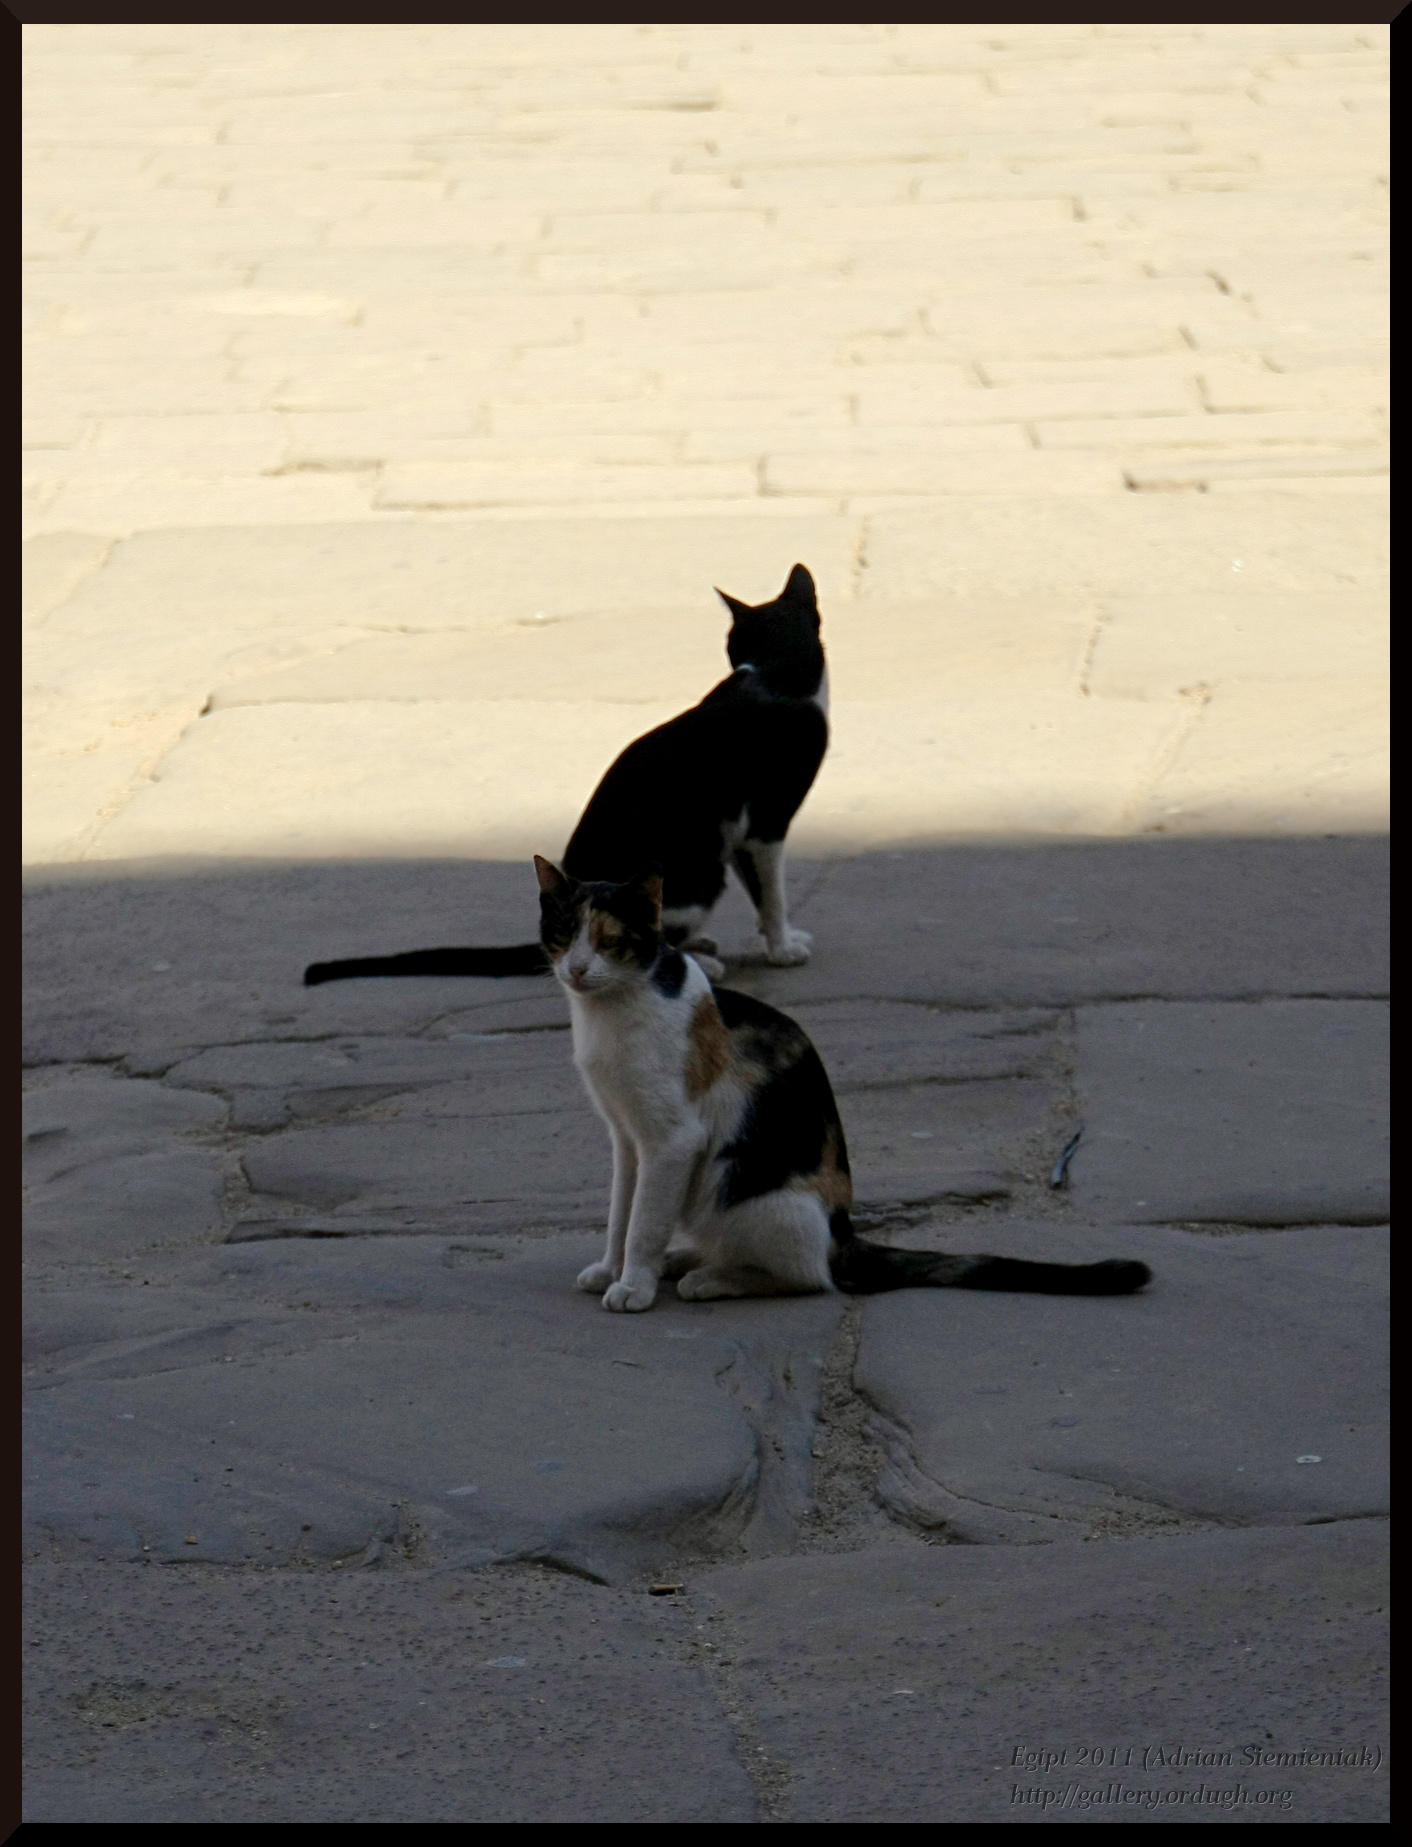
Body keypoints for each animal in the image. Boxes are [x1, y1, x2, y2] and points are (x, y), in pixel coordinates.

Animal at [304, 563, 829, 988]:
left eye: (730, 645)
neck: (774, 674)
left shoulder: (739, 830)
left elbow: (759, 890)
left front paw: (770, 937)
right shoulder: (767, 822)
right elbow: (773, 892)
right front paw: (782, 947)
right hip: (701, 872)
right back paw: (701, 960)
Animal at [535, 858, 1152, 1313]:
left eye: (610, 941)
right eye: (564, 933)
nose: (578, 970)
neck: (612, 1011)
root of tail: (843, 1231)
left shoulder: (673, 1141)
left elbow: (645, 1220)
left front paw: (633, 1285)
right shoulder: (627, 1138)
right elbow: (623, 1210)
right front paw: (612, 1268)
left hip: (737, 1190)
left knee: (808, 1275)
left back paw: (712, 1278)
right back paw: (686, 1260)